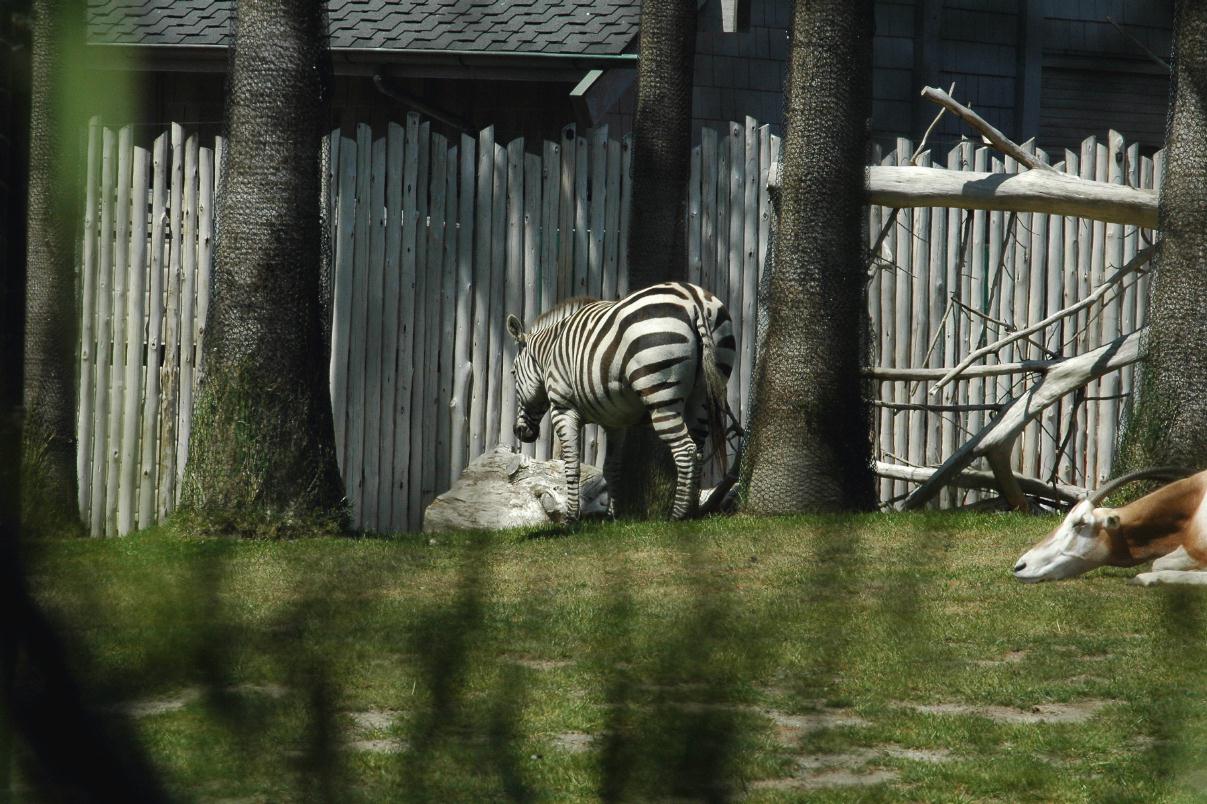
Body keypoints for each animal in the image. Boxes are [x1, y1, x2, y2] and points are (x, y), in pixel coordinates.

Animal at [502, 280, 733, 519]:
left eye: (512, 373)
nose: (519, 431)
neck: (551, 352)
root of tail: (693, 299)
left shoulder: (562, 408)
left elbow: (571, 465)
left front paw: (571, 517)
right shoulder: (615, 420)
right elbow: (611, 467)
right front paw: (611, 516)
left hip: (661, 396)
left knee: (685, 451)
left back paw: (676, 516)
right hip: (703, 394)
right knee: (698, 449)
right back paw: (691, 512)